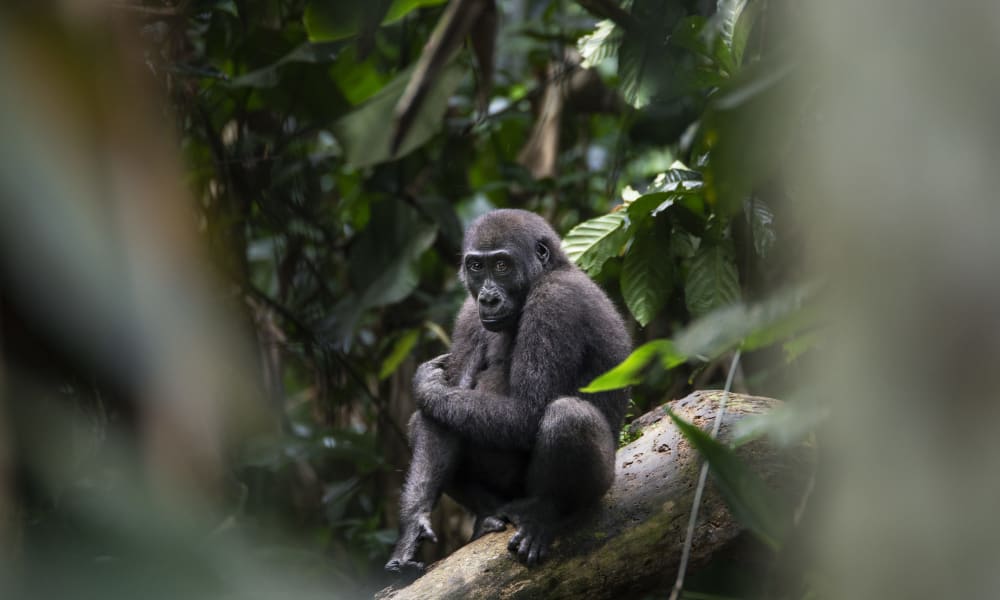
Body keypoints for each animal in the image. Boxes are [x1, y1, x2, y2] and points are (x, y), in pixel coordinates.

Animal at [384, 209, 628, 568]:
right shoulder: (468, 313)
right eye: (476, 266)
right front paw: (412, 525)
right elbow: (437, 420)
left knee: (568, 417)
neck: (551, 269)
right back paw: (488, 512)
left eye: (502, 265)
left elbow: (528, 412)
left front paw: (426, 386)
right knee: (422, 423)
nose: (487, 298)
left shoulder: (554, 301)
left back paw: (544, 511)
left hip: (602, 486)